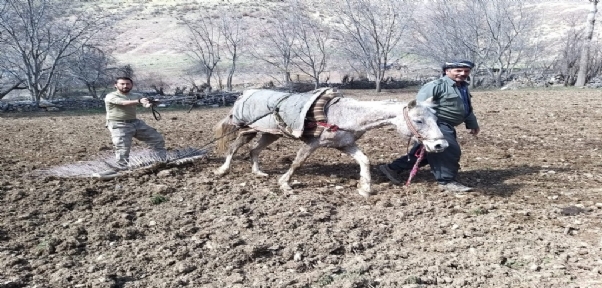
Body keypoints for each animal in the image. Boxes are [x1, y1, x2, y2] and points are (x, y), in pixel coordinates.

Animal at [212, 94, 446, 198]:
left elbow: (364, 160)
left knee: (254, 150)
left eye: (435, 118)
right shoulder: (312, 144)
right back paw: (222, 170)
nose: (440, 145)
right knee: (234, 148)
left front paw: (365, 188)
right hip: (248, 129)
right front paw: (285, 184)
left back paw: (258, 172)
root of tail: (243, 95)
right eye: (419, 120)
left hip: (270, 134)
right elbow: (297, 163)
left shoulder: (346, 144)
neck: (345, 115)